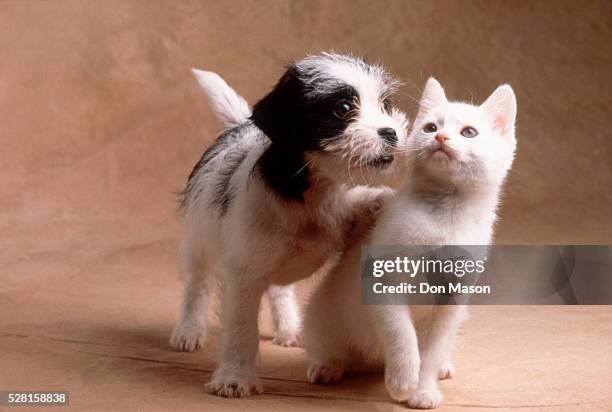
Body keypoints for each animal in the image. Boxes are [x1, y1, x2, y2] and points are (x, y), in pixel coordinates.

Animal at [169, 53, 406, 398]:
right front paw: (234, 378)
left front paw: (386, 199)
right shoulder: (244, 276)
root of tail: (238, 128)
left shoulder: (339, 216)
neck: (306, 191)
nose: (391, 133)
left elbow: (360, 203)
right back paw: (188, 330)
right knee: (197, 285)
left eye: (385, 104)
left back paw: (289, 326)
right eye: (342, 108)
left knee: (280, 290)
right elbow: (240, 330)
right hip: (200, 241)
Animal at [302, 78, 516, 408]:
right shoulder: (381, 284)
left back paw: (442, 368)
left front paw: (423, 389)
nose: (440, 136)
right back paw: (328, 366)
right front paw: (403, 380)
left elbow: (431, 351)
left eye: (469, 132)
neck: (443, 217)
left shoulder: (453, 301)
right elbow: (401, 333)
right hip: (321, 316)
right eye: (430, 127)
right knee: (330, 347)